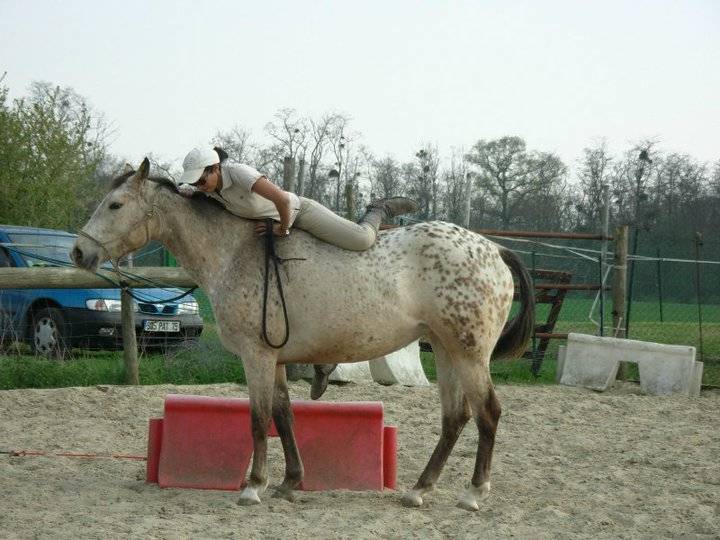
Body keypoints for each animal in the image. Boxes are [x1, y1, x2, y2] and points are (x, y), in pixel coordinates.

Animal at [71, 159, 535, 511]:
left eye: (115, 205)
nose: (79, 252)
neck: (234, 253)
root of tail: (494, 249)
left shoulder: (256, 356)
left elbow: (258, 418)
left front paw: (253, 487)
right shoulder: (274, 359)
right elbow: (283, 414)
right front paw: (289, 482)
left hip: (469, 354)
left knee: (487, 413)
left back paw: (472, 494)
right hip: (443, 349)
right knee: (455, 418)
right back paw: (419, 490)